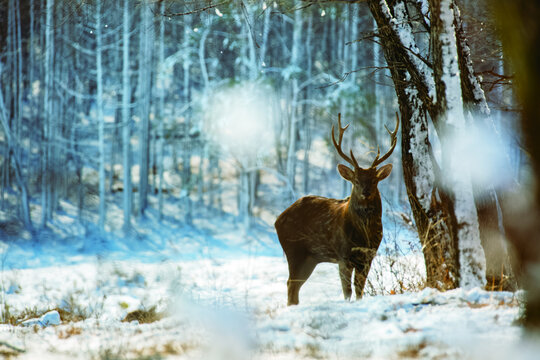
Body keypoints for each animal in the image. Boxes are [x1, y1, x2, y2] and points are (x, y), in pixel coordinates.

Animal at [276, 114, 398, 306]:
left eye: (374, 180)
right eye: (356, 180)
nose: (365, 192)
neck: (364, 236)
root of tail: (277, 220)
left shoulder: (368, 257)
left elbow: (359, 290)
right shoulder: (343, 256)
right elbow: (347, 291)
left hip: (310, 258)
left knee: (294, 287)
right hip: (294, 250)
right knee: (290, 284)